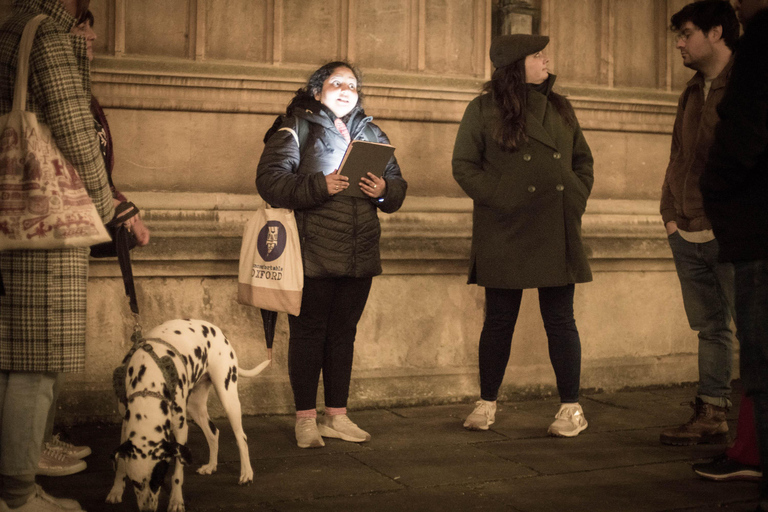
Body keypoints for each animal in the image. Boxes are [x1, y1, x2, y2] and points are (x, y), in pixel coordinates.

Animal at [105, 320, 268, 512]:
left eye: (159, 480)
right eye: (135, 483)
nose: (148, 510)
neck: (148, 385)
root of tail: (217, 330)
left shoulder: (181, 430)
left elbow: (177, 474)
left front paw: (176, 501)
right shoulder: (125, 425)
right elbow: (122, 464)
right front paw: (116, 490)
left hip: (228, 397)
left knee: (241, 437)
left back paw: (246, 473)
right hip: (195, 407)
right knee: (213, 433)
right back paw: (211, 466)